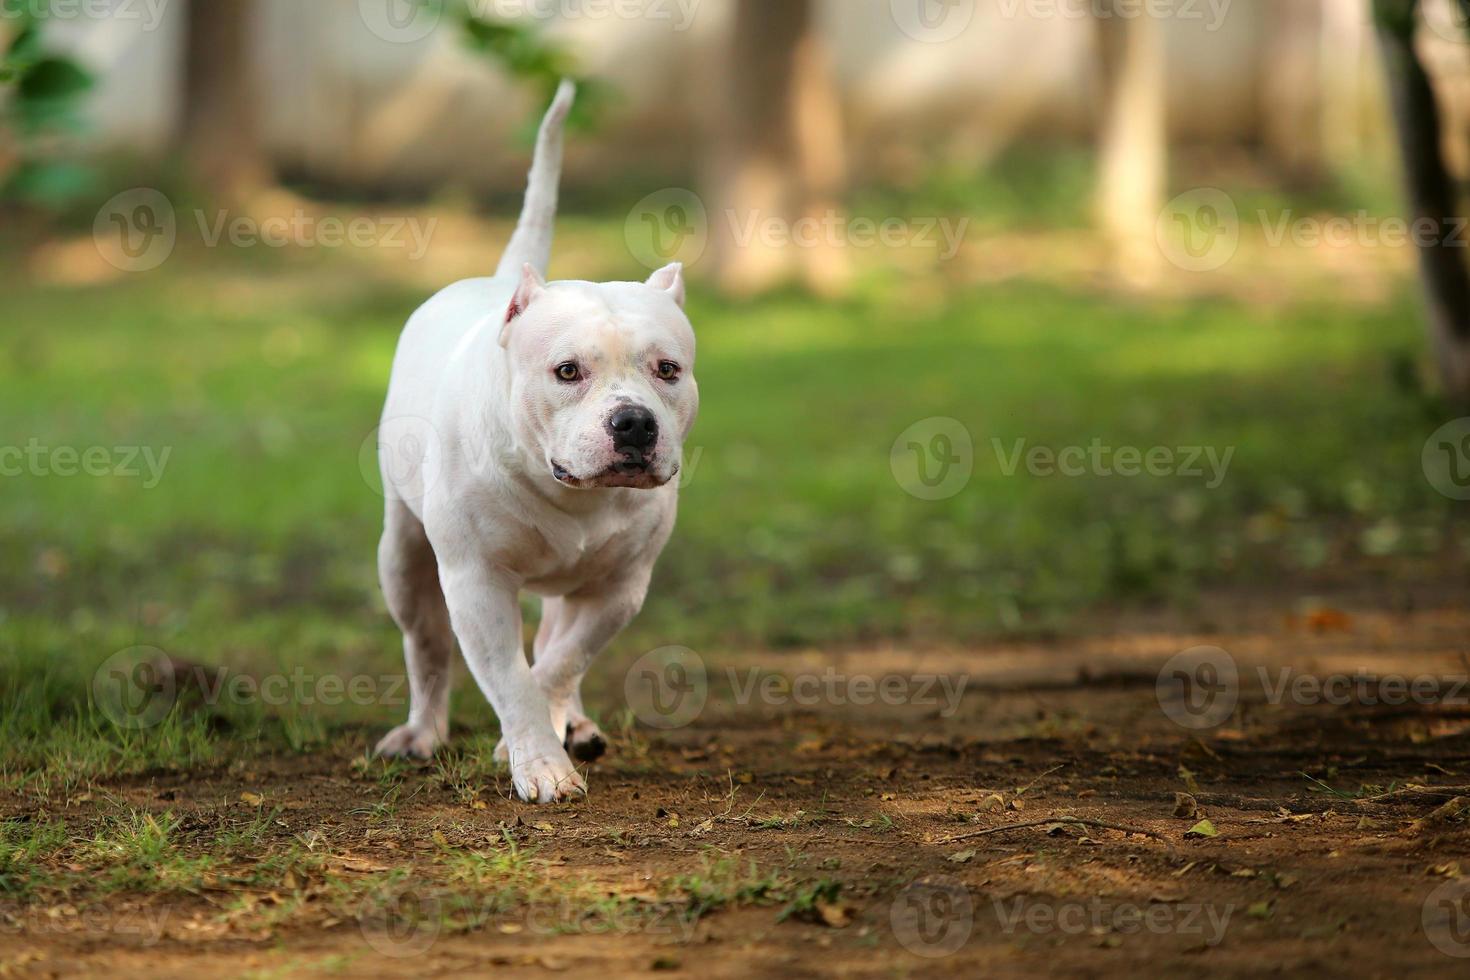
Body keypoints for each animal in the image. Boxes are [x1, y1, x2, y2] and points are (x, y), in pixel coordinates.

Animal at [370, 82, 696, 805]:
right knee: (425, 645)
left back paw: (573, 723)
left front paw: (540, 737)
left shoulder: (620, 588)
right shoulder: (475, 583)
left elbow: (557, 663)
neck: (568, 491)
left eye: (668, 369)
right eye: (567, 371)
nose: (635, 423)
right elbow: (512, 677)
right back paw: (421, 733)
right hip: (402, 556)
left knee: (553, 643)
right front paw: (541, 764)